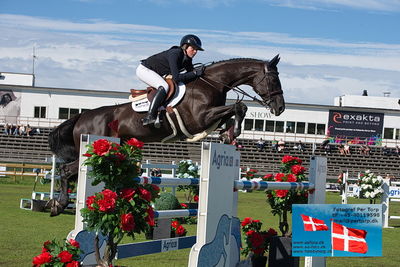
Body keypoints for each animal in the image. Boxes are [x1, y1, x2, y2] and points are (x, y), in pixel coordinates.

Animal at [47, 55, 284, 217]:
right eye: (273, 80)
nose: (280, 108)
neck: (213, 82)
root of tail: (82, 116)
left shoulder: (210, 117)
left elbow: (236, 110)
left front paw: (227, 134)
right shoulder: (200, 118)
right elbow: (239, 106)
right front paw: (231, 132)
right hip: (93, 148)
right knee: (66, 170)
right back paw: (58, 205)